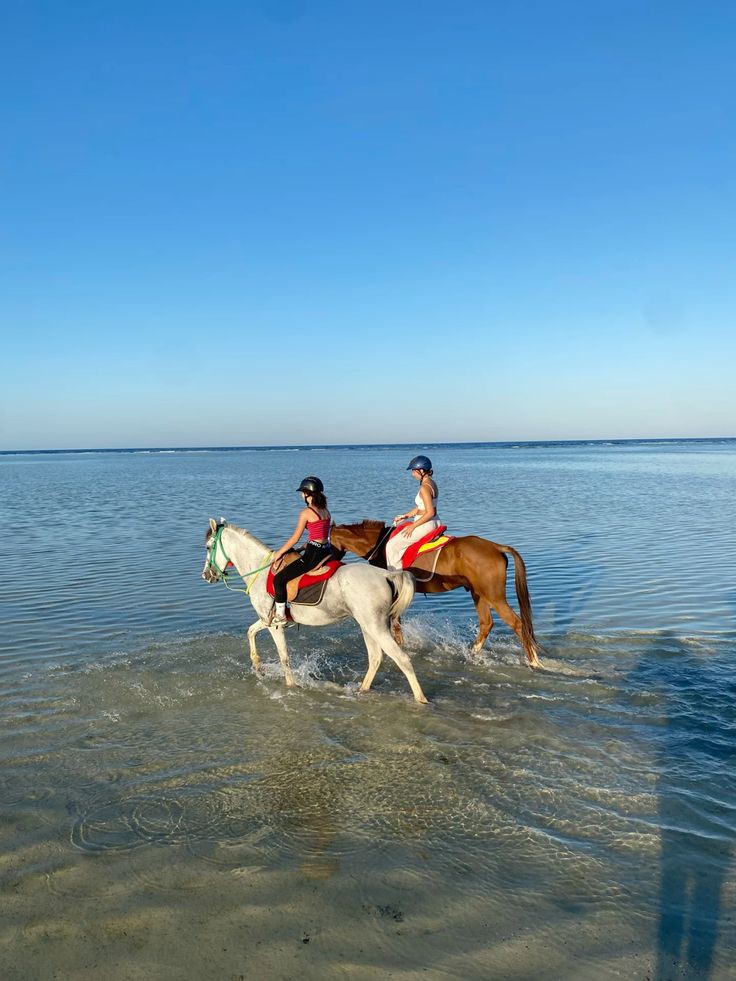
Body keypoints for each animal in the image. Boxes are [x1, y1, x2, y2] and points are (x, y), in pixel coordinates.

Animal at [201, 519, 429, 703]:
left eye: (208, 546)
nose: (206, 575)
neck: (261, 570)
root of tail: (386, 575)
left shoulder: (275, 625)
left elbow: (284, 656)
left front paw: (291, 686)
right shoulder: (266, 620)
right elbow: (250, 632)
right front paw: (258, 665)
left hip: (376, 627)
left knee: (402, 659)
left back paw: (421, 700)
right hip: (367, 626)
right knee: (375, 658)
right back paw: (362, 690)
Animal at [330, 520, 542, 668]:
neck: (379, 545)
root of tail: (495, 546)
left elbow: (396, 626)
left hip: (494, 597)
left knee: (517, 624)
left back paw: (534, 662)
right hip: (479, 594)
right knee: (486, 624)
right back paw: (472, 653)